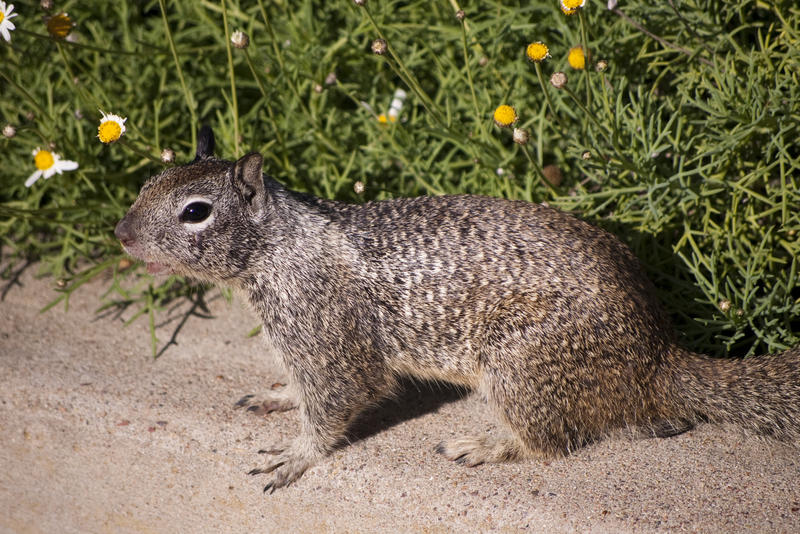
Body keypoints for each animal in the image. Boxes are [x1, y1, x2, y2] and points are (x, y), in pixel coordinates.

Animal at [115, 126, 796, 494]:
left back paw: (485, 445)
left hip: (522, 369)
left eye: (196, 211)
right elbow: (299, 386)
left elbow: (339, 397)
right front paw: (277, 395)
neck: (282, 244)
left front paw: (295, 456)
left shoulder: (325, 329)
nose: (120, 234)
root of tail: (658, 355)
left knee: (552, 440)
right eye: (147, 183)